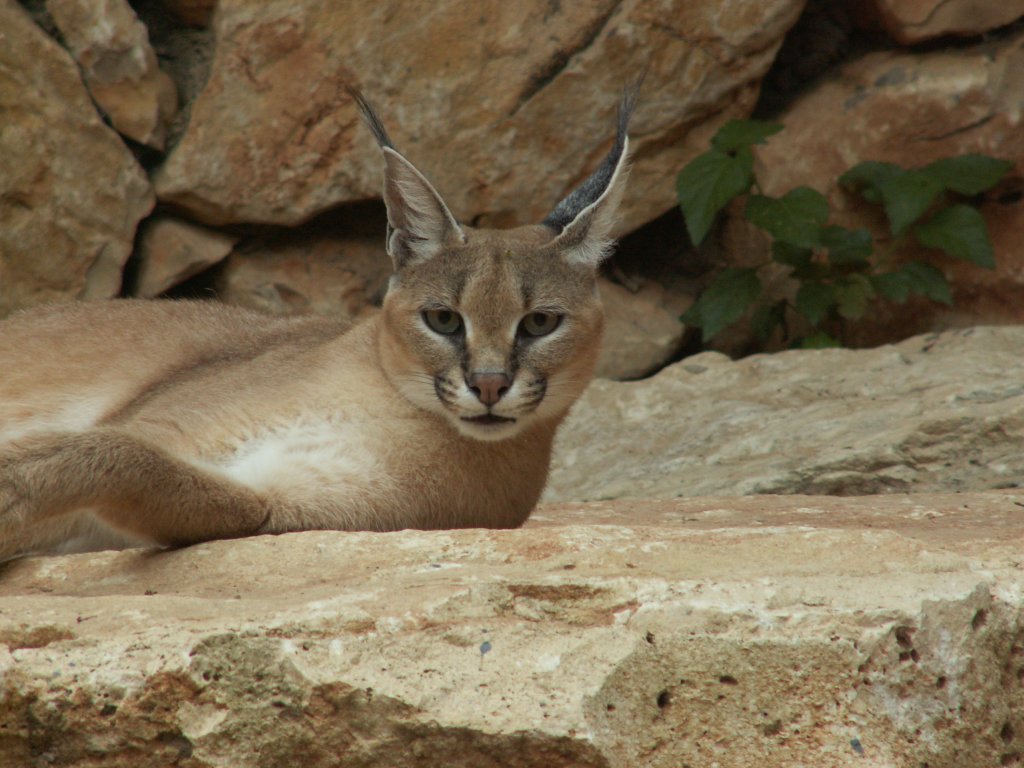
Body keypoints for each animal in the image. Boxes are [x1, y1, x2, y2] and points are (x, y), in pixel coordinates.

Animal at [0, 88, 634, 561]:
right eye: (443, 320)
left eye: (540, 323)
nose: (489, 385)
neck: (397, 415)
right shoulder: (162, 424)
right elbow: (105, 442)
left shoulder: (274, 504)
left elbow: (126, 457)